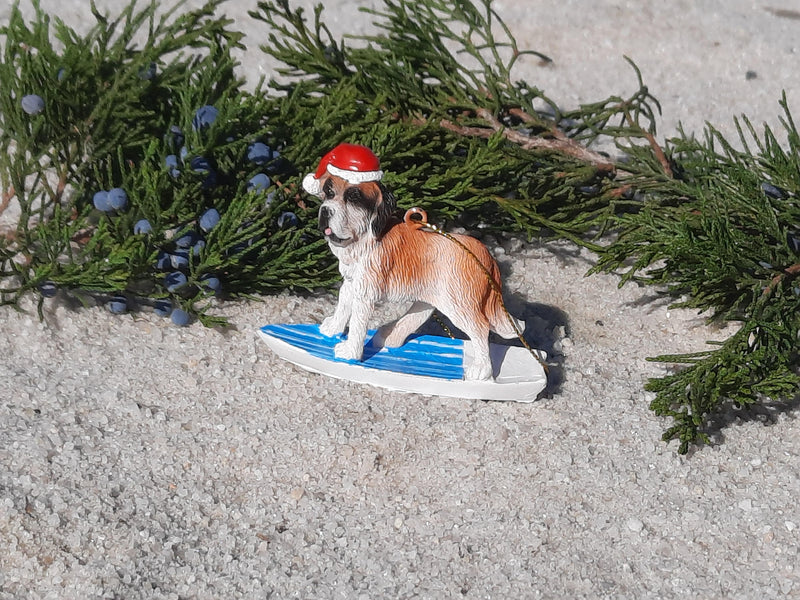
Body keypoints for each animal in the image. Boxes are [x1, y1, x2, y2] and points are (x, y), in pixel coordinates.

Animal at [302, 144, 520, 380]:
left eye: (353, 197)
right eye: (329, 193)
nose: (325, 210)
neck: (367, 237)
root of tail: (482, 253)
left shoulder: (365, 293)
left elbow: (358, 322)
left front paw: (350, 352)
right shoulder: (352, 283)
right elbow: (343, 305)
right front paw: (332, 329)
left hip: (459, 303)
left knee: (480, 328)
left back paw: (481, 370)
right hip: (434, 295)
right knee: (418, 315)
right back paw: (388, 336)